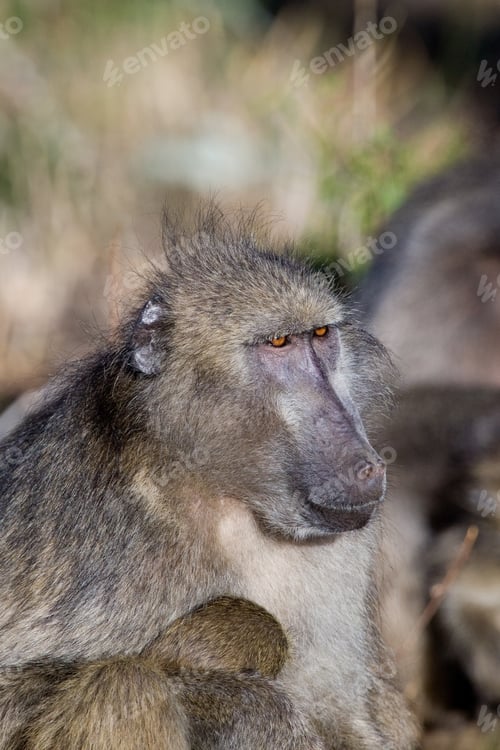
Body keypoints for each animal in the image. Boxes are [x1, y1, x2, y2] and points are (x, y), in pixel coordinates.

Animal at [0, 209, 418, 749]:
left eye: (322, 336)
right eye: (278, 343)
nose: (366, 464)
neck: (217, 489)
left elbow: (341, 713)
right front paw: (247, 706)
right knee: (124, 683)